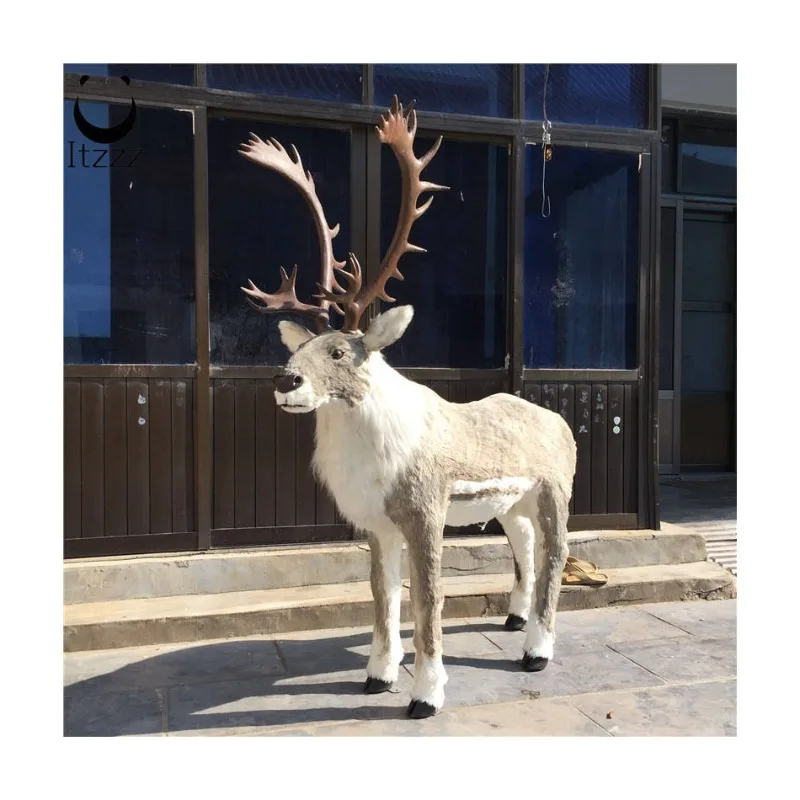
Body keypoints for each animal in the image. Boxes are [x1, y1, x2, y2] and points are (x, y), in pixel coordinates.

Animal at [238, 97, 577, 719]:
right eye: (299, 347)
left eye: (341, 350)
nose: (285, 380)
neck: (379, 451)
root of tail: (560, 422)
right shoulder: (375, 523)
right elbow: (382, 593)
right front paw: (377, 675)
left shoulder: (424, 514)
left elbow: (429, 596)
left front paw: (426, 693)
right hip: (512, 502)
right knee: (524, 544)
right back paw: (513, 618)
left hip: (556, 490)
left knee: (557, 551)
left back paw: (536, 650)